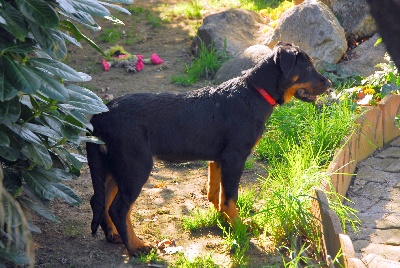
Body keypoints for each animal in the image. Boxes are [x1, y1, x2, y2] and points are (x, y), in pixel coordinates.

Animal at [86, 42, 332, 255]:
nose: (329, 83)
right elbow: (230, 198)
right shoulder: (235, 157)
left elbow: (216, 193)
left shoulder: (217, 159)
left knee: (102, 201)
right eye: (307, 67)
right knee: (119, 208)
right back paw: (136, 246)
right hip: (136, 165)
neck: (253, 92)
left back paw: (113, 235)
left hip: (115, 165)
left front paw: (224, 220)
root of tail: (99, 116)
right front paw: (240, 227)